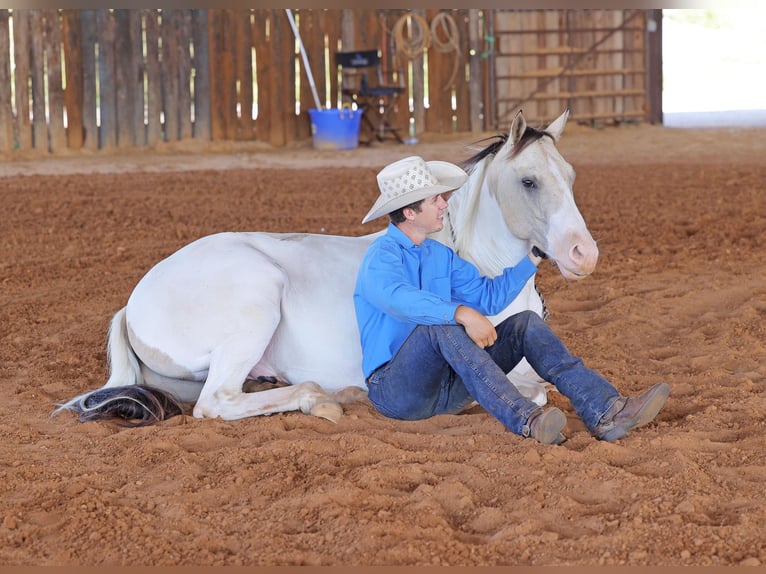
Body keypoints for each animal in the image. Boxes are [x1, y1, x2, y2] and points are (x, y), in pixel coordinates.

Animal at [57, 109, 604, 428]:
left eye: (572, 176)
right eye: (529, 181)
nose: (584, 253)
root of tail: (132, 304)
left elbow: (543, 386)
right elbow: (533, 394)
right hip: (256, 301)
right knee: (216, 402)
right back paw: (321, 398)